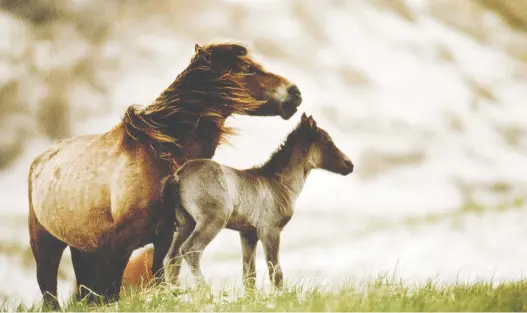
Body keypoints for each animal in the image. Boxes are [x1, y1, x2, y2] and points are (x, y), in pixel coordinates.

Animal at [27, 40, 302, 308]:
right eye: (246, 68)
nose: (295, 93)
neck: (158, 154)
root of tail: (39, 160)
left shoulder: (164, 237)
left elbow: (160, 277)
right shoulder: (118, 248)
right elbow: (113, 292)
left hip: (82, 249)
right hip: (47, 246)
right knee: (49, 292)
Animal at [165, 112, 354, 290]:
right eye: (328, 142)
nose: (350, 165)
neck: (278, 183)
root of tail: (179, 175)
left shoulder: (248, 234)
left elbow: (249, 275)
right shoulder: (270, 231)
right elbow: (276, 273)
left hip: (185, 224)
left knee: (172, 257)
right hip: (213, 220)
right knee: (190, 251)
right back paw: (205, 292)